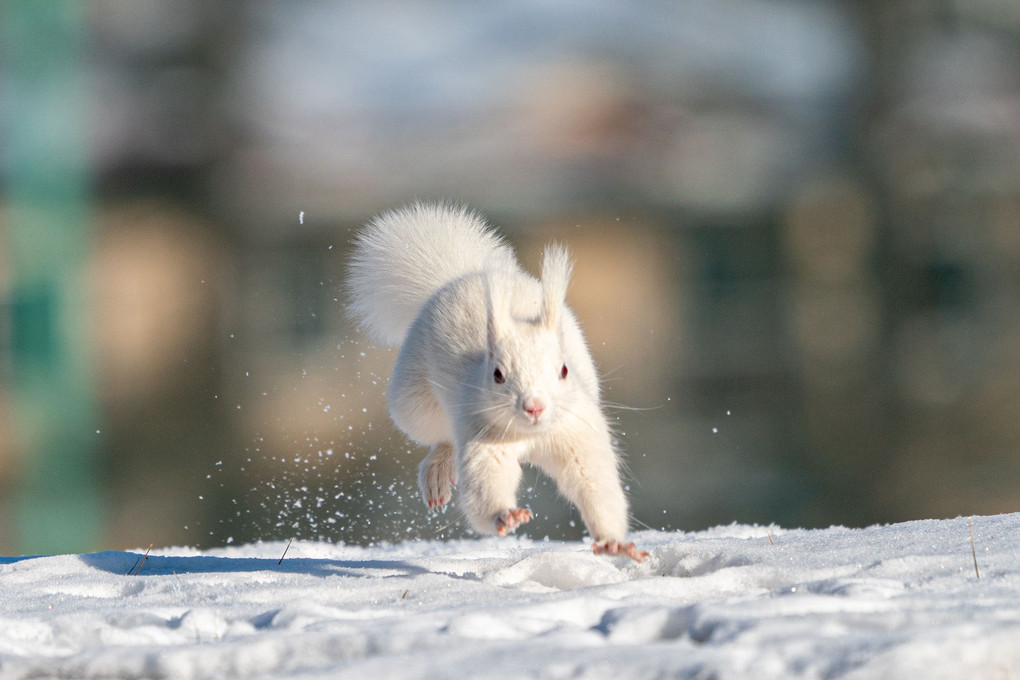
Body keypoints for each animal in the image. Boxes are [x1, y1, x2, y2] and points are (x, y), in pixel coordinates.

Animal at [342, 203, 644, 562]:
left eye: (564, 370)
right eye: (498, 374)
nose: (534, 407)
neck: (531, 436)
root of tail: (459, 277)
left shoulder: (577, 433)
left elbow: (594, 483)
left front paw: (614, 542)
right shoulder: (484, 435)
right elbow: (486, 485)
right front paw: (505, 515)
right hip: (415, 401)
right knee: (443, 436)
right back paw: (437, 474)